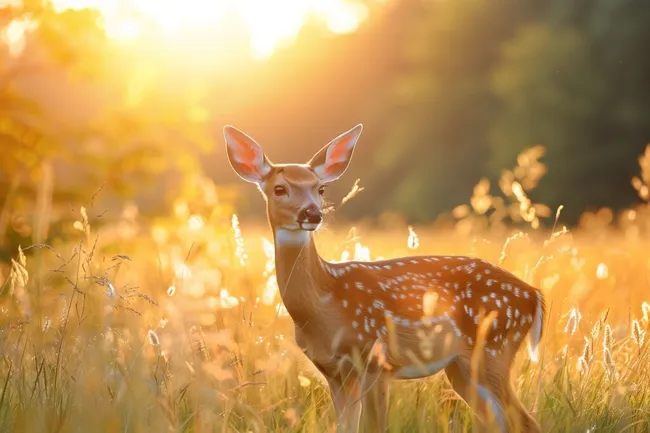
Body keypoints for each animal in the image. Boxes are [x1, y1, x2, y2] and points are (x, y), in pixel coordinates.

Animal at [223, 124, 545, 433]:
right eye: (279, 188)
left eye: (321, 188)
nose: (312, 214)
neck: (324, 302)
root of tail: (534, 296)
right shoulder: (335, 372)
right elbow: (346, 428)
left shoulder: (376, 360)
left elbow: (375, 426)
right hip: (461, 366)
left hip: (493, 350)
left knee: (527, 422)